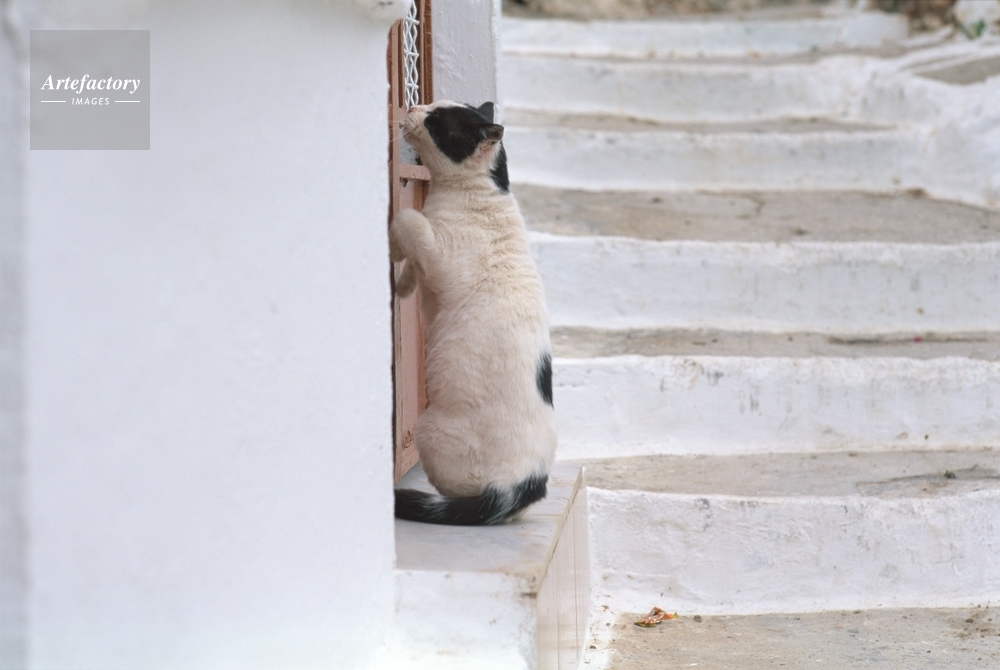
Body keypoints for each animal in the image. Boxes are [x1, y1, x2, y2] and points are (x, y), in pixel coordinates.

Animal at [390, 100, 557, 526]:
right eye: (429, 108)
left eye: (435, 120)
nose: (414, 106)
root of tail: (522, 489)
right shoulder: (429, 267)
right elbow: (414, 263)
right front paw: (403, 285)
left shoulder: (436, 251)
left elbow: (407, 220)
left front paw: (395, 251)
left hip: (430, 429)